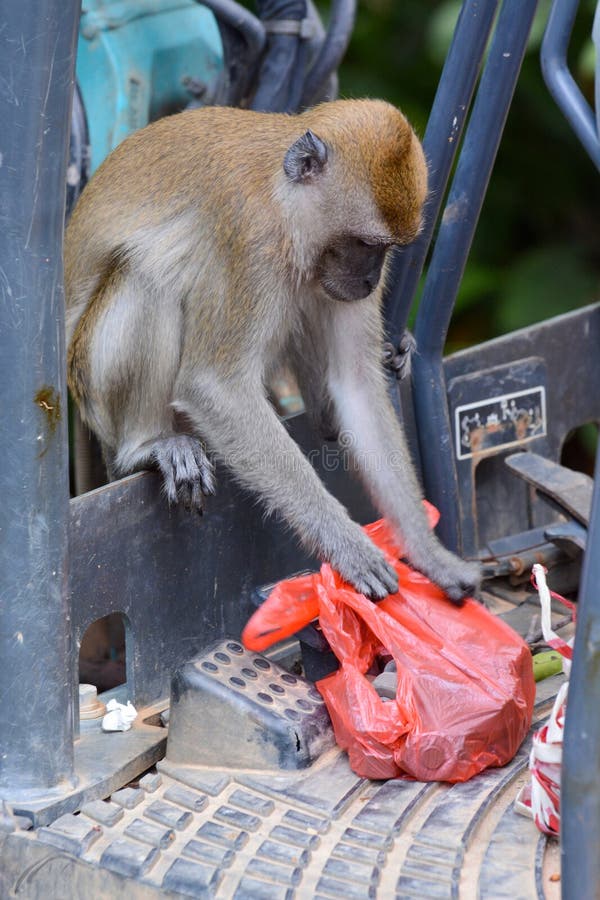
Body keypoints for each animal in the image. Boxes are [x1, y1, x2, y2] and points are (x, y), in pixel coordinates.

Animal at [65, 99, 481, 603]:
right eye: (363, 243)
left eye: (386, 249)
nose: (368, 280)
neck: (281, 200)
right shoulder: (252, 243)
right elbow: (215, 388)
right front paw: (348, 546)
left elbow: (358, 385)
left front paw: (427, 552)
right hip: (93, 385)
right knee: (146, 275)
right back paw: (147, 447)